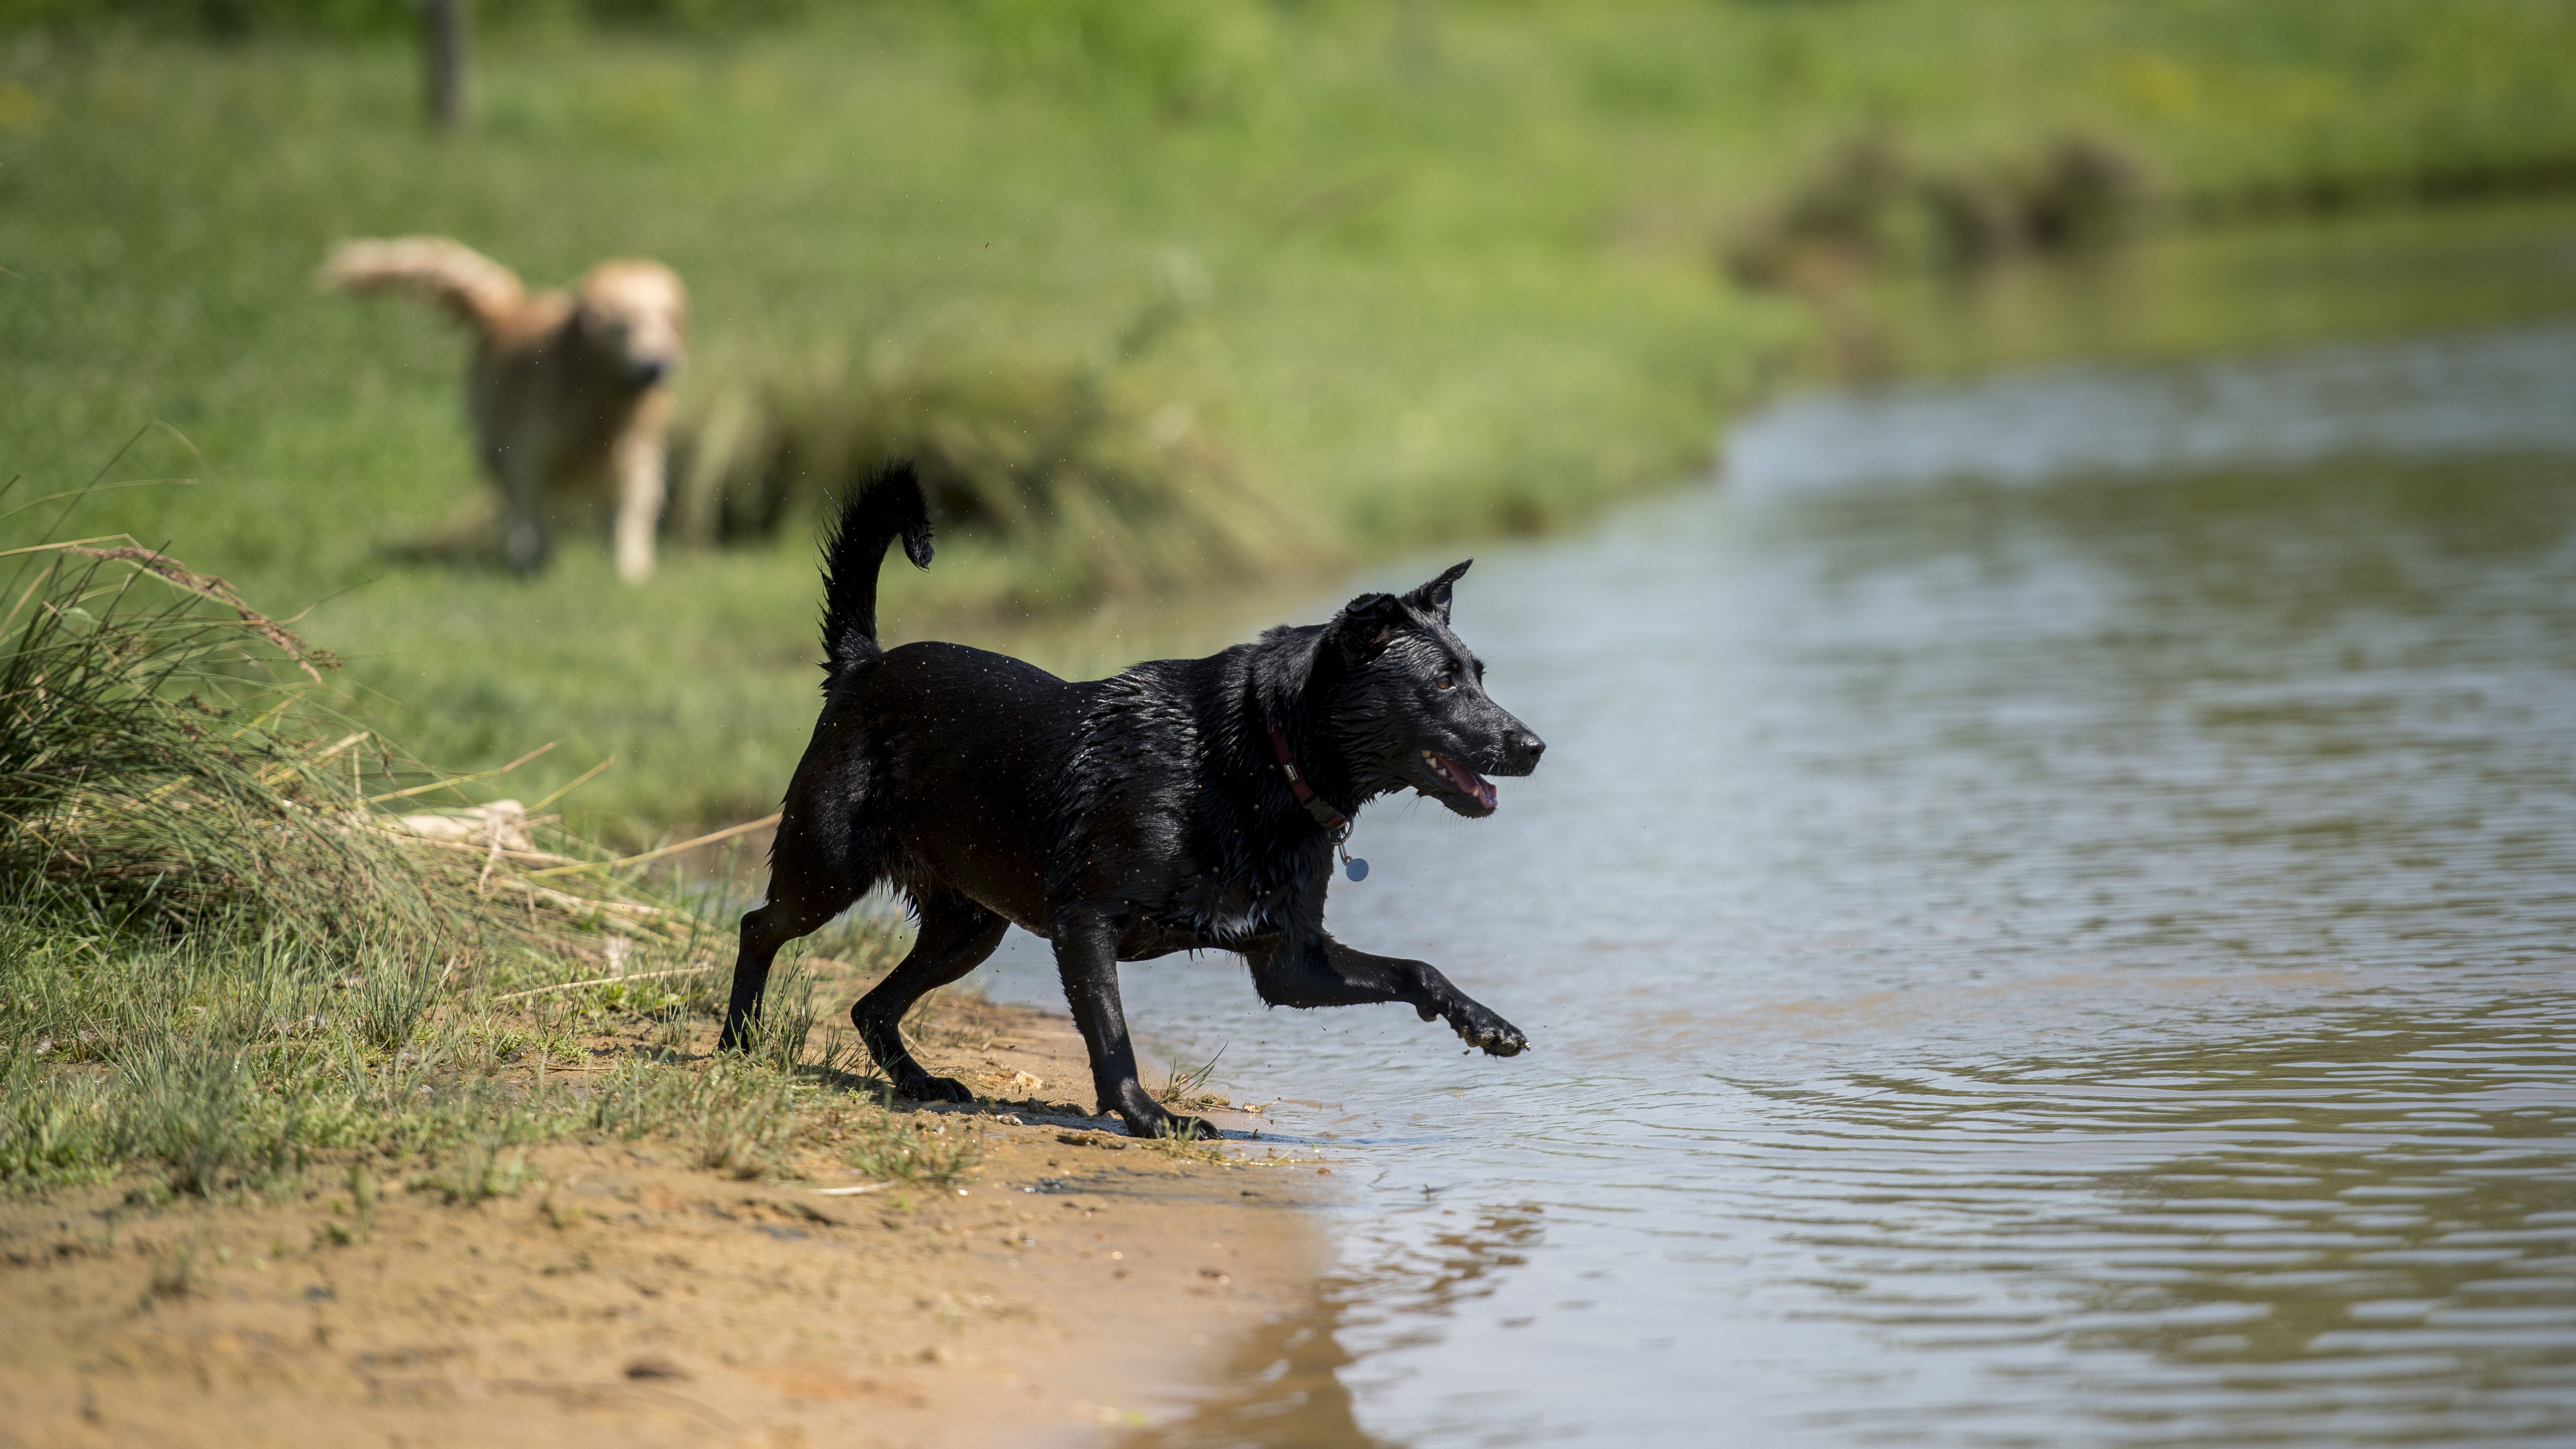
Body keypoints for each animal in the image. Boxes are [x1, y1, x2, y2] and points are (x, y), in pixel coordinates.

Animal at [321, 234, 685, 577]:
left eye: (669, 322)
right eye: (624, 326)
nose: (658, 366)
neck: (599, 400)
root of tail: (510, 304)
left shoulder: (638, 457)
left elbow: (632, 514)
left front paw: (632, 574)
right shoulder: (528, 456)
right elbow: (534, 514)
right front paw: (534, 563)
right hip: (493, 448)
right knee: (512, 506)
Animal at [716, 469, 1535, 1134]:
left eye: (1480, 675)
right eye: (1442, 683)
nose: (1533, 745)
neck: (1258, 758)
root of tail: (865, 666)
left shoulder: (1290, 961)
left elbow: (1415, 971)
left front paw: (1486, 1025)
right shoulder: (1085, 925)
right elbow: (1112, 1036)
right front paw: (1150, 1119)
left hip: (969, 926)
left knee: (871, 1005)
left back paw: (920, 1081)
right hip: (827, 868)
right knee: (760, 927)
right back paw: (737, 1044)